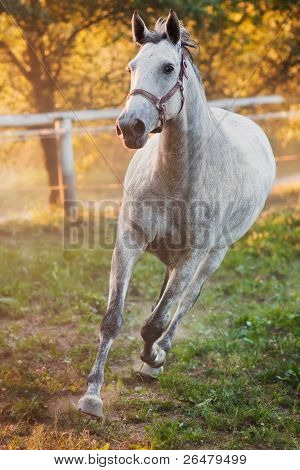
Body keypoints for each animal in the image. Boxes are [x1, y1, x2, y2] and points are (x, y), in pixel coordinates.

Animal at [78, 9, 276, 416]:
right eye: (132, 67)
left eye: (169, 67)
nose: (129, 127)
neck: (175, 180)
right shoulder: (128, 243)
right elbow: (113, 320)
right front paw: (92, 396)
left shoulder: (192, 257)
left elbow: (156, 322)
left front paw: (152, 359)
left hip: (214, 257)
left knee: (183, 304)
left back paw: (158, 357)